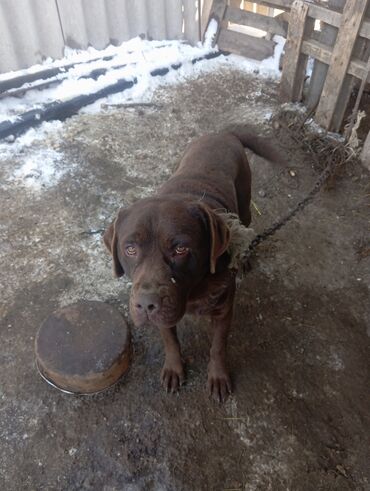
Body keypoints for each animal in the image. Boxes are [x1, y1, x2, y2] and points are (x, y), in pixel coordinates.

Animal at [104, 128, 280, 404]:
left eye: (180, 249)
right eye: (130, 249)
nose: (146, 304)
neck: (193, 292)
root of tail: (223, 132)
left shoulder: (223, 310)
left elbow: (218, 347)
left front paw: (218, 377)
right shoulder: (166, 316)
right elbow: (170, 341)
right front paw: (174, 369)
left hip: (245, 202)